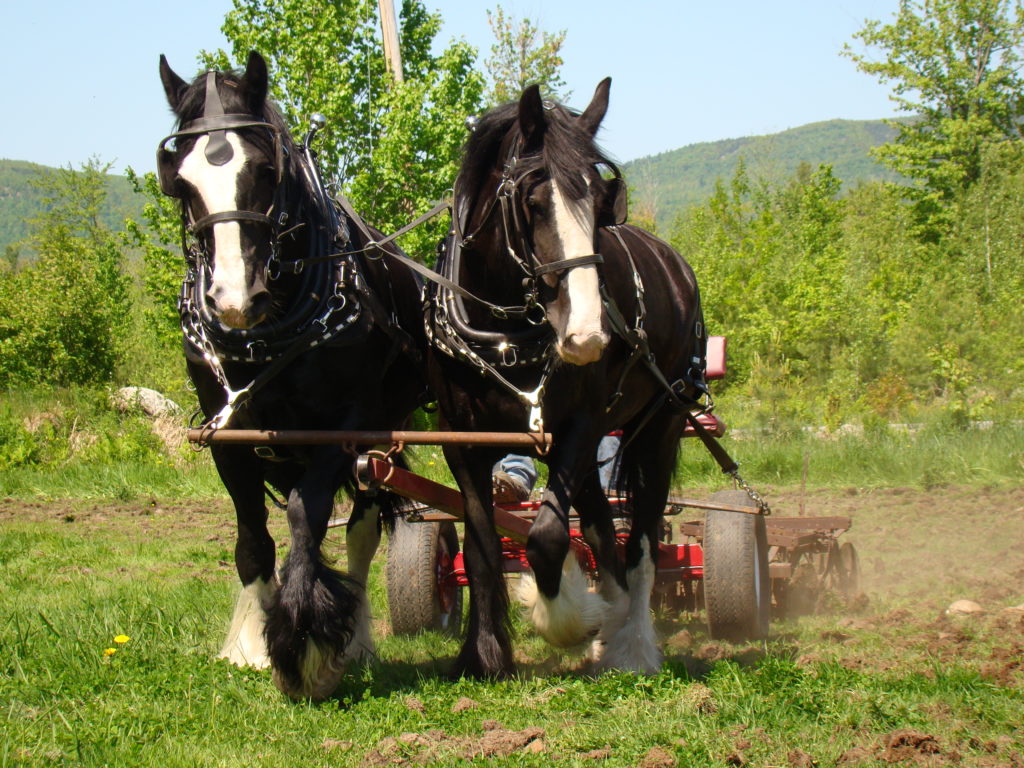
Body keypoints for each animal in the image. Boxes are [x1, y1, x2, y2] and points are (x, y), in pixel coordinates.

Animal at [156, 54, 428, 700]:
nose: (233, 299)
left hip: (380, 437)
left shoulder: (343, 428)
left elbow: (308, 517)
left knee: (362, 529)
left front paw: (306, 644)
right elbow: (253, 541)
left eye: (264, 169)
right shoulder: (227, 435)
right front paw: (257, 644)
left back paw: (356, 638)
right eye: (180, 180)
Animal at [428, 79, 708, 679]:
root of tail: (675, 264)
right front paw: (485, 654)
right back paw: (612, 625)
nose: (587, 336)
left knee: (640, 540)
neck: (503, 330)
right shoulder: (462, 440)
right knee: (603, 530)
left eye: (603, 204)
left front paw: (567, 620)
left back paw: (633, 644)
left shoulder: (579, 425)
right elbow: (482, 550)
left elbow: (549, 537)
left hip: (662, 426)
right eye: (533, 204)